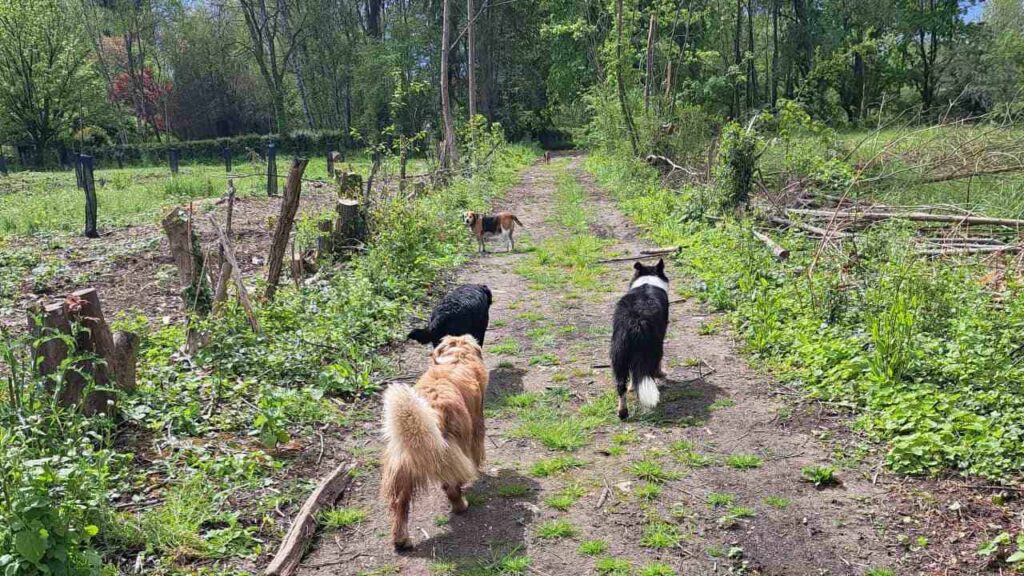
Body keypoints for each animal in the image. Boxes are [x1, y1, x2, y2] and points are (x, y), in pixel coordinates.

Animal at [380, 332, 487, 545]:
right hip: (452, 450)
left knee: (399, 504)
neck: (457, 355)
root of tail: (432, 407)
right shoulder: (477, 423)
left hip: (403, 466)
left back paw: (401, 540)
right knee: (451, 487)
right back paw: (461, 505)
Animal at [610, 259, 667, 416]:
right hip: (653, 348)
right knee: (648, 371)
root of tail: (635, 320)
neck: (647, 280)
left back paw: (622, 413)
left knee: (621, 385)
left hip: (618, 353)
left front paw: (632, 387)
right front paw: (661, 374)